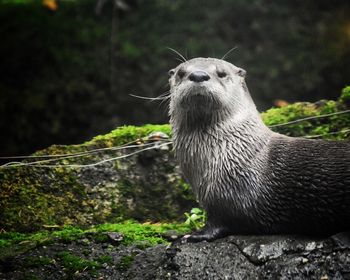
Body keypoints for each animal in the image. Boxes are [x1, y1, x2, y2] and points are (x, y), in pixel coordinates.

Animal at [168, 57, 348, 243]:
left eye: (221, 73)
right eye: (181, 73)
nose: (198, 75)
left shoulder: (227, 197)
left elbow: (220, 222)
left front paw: (193, 235)